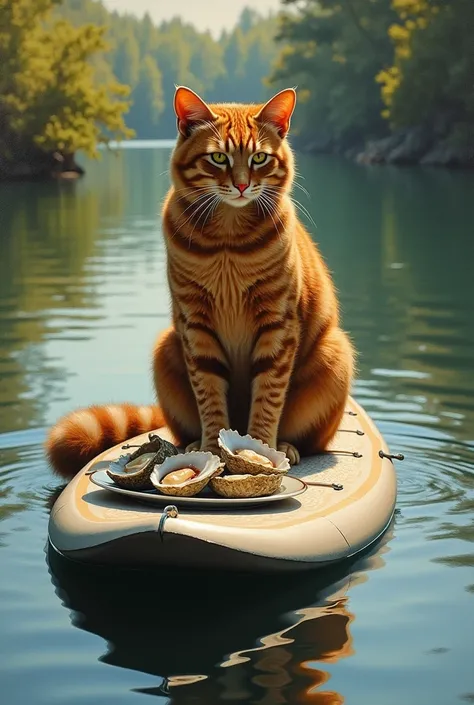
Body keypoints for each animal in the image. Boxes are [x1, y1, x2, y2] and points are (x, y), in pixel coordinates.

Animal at [45, 85, 356, 476]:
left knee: (311, 440)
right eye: (218, 158)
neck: (228, 240)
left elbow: (268, 397)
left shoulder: (277, 324)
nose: (242, 185)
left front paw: (260, 450)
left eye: (259, 158)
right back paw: (193, 444)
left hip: (334, 353)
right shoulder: (196, 325)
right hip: (166, 347)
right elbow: (209, 397)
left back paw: (286, 446)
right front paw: (211, 449)